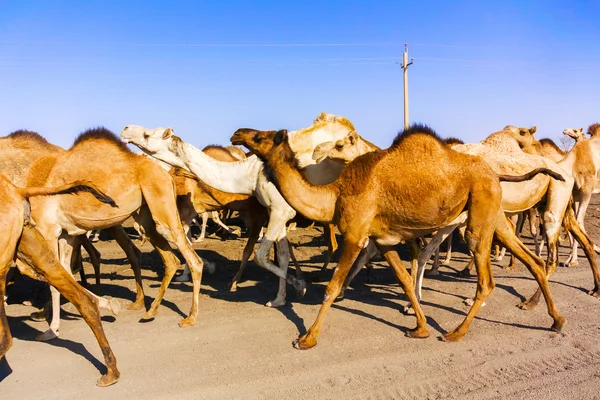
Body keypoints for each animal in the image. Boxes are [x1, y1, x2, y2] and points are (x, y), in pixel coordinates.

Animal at [25, 126, 207, 340]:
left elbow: (54, 280)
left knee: (194, 260)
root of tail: (167, 174)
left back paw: (190, 317)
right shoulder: (66, 234)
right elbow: (65, 275)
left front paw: (51, 330)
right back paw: (151, 310)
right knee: (170, 259)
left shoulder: (47, 229)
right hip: (147, 217)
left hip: (161, 208)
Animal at [227, 123, 564, 348]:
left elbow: (332, 288)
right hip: (495, 214)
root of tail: (495, 173)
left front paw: (307, 337)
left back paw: (456, 332)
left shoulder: (355, 235)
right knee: (532, 260)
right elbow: (403, 280)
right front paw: (420, 327)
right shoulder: (382, 240)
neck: (335, 194)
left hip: (479, 211)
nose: (237, 133)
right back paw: (554, 320)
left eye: (260, 136)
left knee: (486, 280)